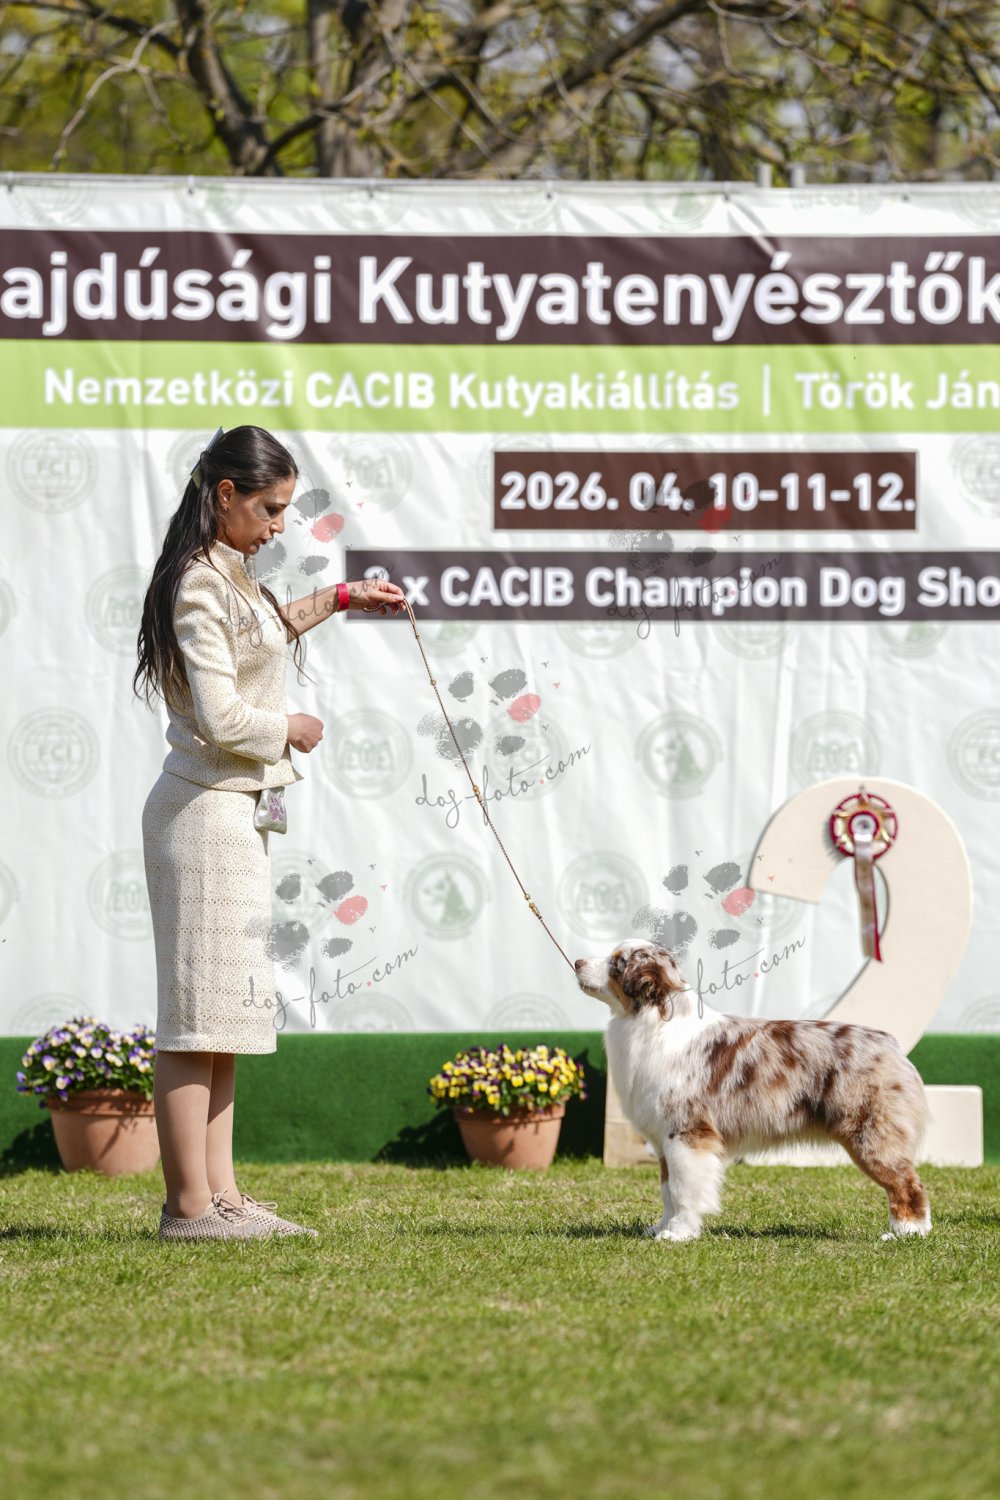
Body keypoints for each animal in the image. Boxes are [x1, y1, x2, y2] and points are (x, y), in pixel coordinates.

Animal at [575, 939, 931, 1242]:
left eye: (617, 963)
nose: (577, 961)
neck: (652, 1024)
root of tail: (890, 1044)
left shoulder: (687, 1132)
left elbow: (682, 1189)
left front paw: (678, 1233)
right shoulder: (663, 1140)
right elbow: (666, 1190)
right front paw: (660, 1227)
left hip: (872, 1136)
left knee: (908, 1184)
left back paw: (906, 1233)